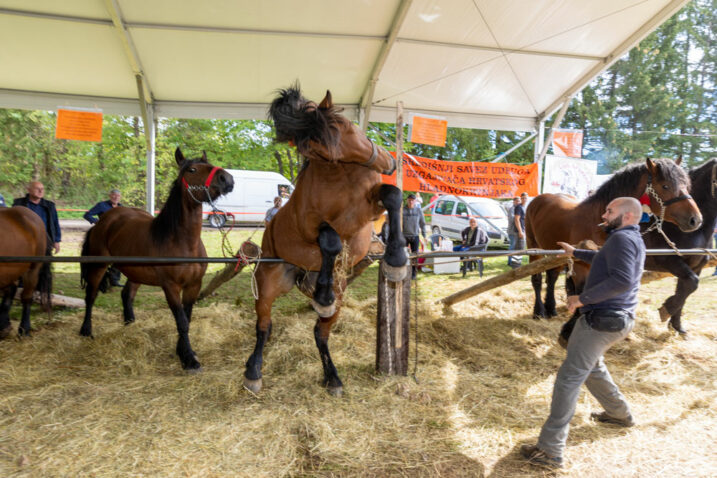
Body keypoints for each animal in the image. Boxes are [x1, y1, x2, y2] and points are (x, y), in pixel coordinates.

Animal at [81, 148, 232, 372]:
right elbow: (181, 321)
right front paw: (189, 359)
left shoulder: (194, 285)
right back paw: (86, 330)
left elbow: (187, 318)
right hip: (99, 267)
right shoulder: (170, 286)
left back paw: (130, 325)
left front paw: (183, 351)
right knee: (91, 296)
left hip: (135, 272)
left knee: (126, 295)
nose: (227, 179)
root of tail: (103, 220)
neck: (184, 242)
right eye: (192, 169)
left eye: (209, 164)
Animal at [242, 85, 406, 396]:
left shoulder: (371, 210)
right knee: (263, 326)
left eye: (346, 126)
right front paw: (324, 294)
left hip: (338, 295)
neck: (342, 175)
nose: (387, 161)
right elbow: (330, 240)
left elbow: (393, 196)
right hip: (268, 285)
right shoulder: (311, 225)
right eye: (313, 148)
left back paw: (332, 376)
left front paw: (397, 260)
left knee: (320, 332)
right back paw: (253, 371)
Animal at [524, 159, 700, 324]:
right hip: (534, 247)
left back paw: (551, 309)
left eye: (686, 185)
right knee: (537, 279)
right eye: (665, 186)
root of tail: (539, 199)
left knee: (552, 276)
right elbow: (582, 291)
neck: (597, 221)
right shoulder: (580, 266)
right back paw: (539, 311)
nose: (695, 219)